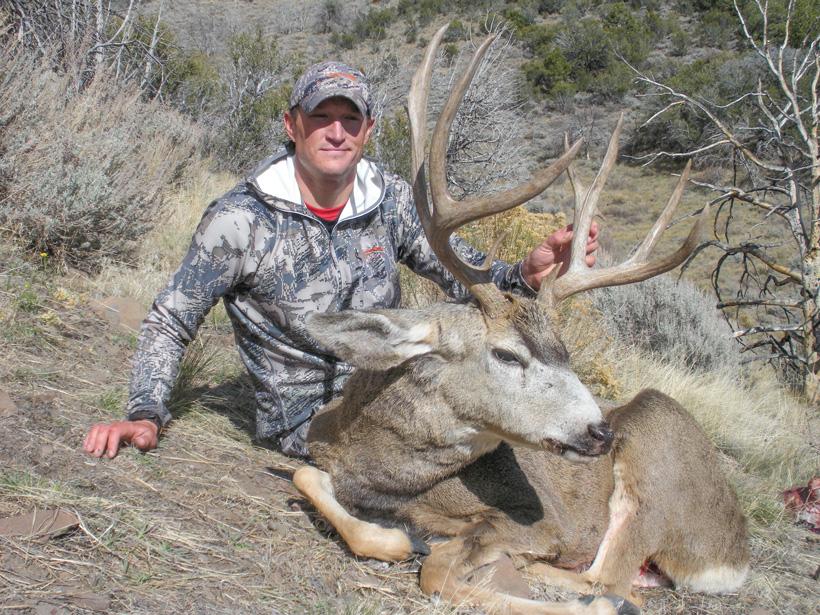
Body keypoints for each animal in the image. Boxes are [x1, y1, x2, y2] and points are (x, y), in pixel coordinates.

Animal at [292, 25, 750, 615]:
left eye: (566, 353)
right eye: (508, 354)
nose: (599, 431)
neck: (381, 472)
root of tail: (734, 551)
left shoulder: (540, 520)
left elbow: (438, 573)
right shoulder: (323, 461)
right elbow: (308, 477)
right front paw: (403, 536)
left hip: (655, 447)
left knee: (609, 580)